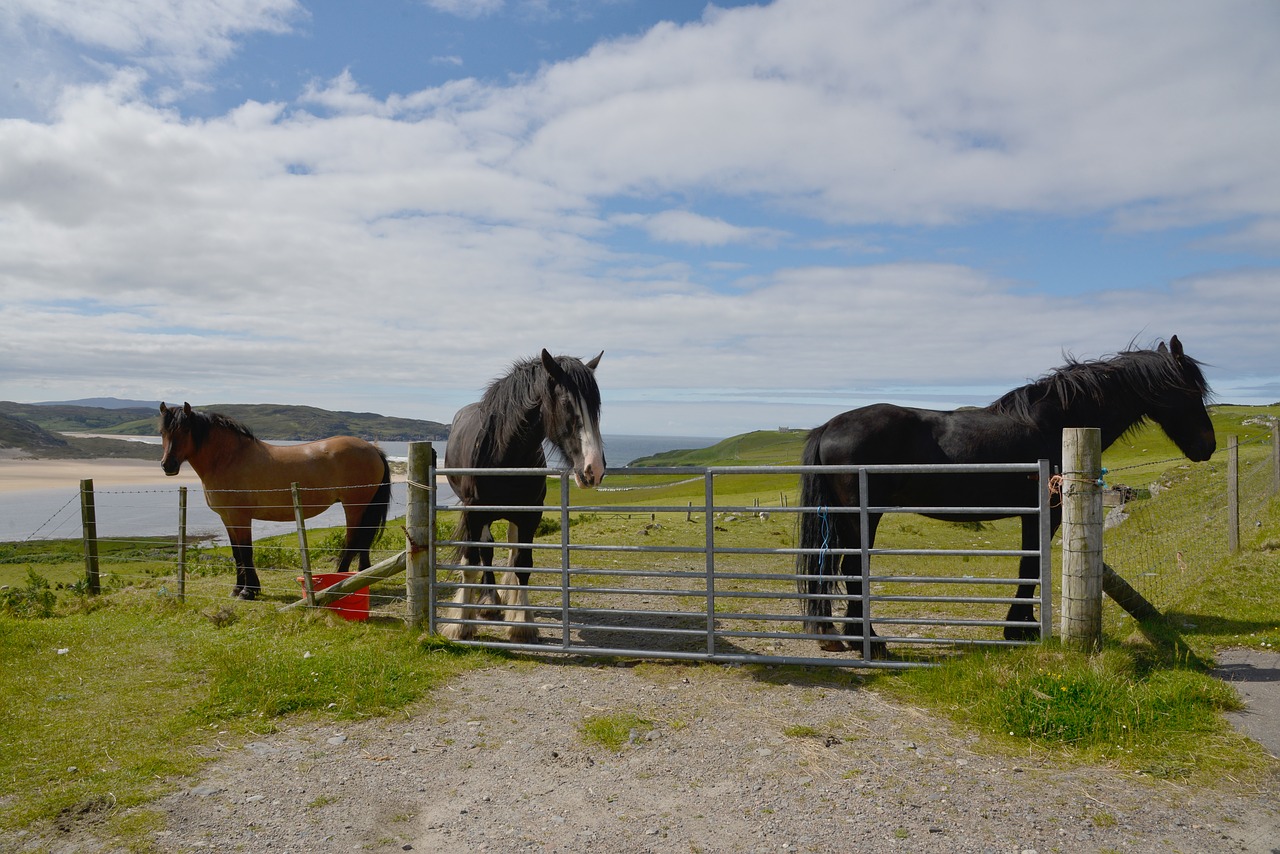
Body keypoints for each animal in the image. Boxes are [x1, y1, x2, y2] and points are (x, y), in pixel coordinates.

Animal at [160, 402, 389, 599]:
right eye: (163, 432)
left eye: (185, 430)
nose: (167, 465)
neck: (229, 458)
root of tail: (372, 448)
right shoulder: (227, 517)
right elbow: (236, 553)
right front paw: (238, 588)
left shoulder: (240, 516)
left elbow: (246, 552)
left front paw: (248, 591)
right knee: (362, 541)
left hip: (354, 506)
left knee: (353, 541)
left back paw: (339, 581)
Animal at [442, 348, 606, 640]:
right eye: (567, 404)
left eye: (596, 406)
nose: (594, 469)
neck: (504, 454)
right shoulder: (474, 513)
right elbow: (471, 561)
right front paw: (461, 623)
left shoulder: (530, 515)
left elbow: (523, 563)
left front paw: (522, 623)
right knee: (486, 549)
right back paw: (489, 601)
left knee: (510, 546)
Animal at [793, 338, 1213, 660]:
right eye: (1192, 391)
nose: (1206, 447)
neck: (1057, 422)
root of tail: (827, 426)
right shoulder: (1045, 513)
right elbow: (1030, 565)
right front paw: (1019, 628)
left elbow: (1029, 564)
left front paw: (1021, 626)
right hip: (861, 515)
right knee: (851, 568)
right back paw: (869, 641)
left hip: (843, 518)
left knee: (832, 566)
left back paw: (837, 635)